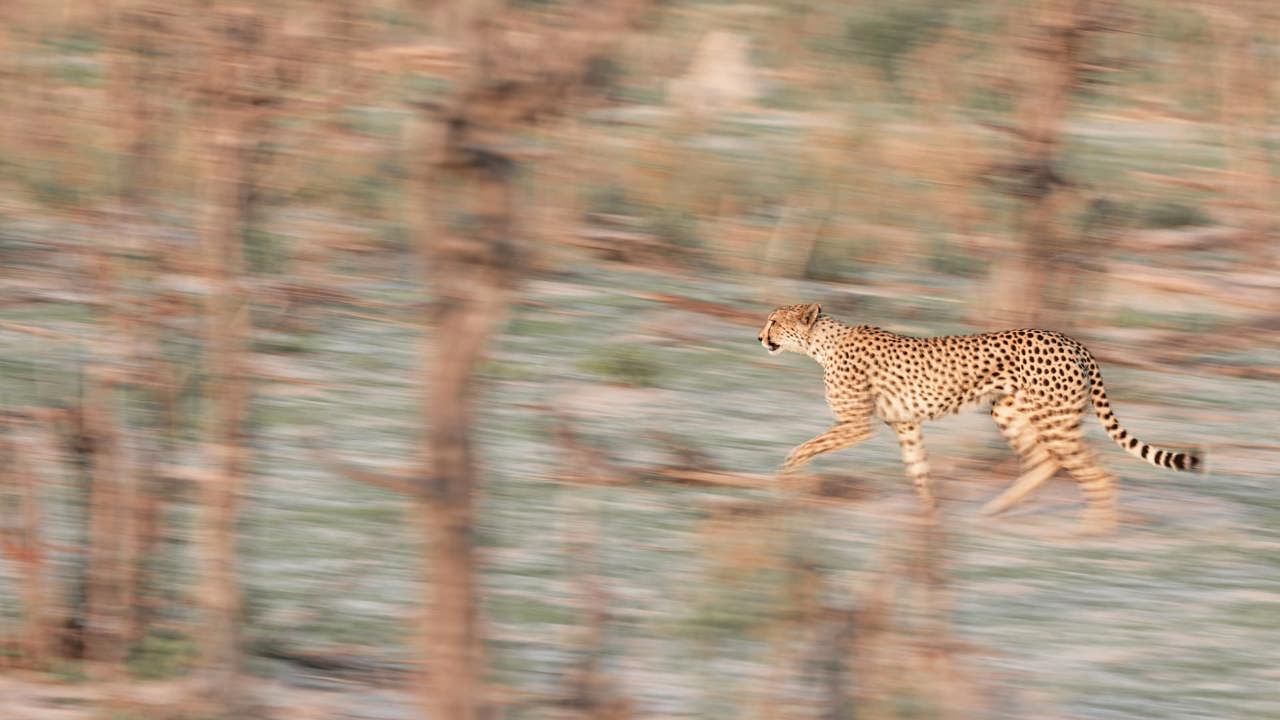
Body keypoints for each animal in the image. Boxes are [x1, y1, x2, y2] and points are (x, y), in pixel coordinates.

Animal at [758, 302, 1202, 531]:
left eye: (774, 321)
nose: (759, 337)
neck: (823, 343)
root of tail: (1071, 339)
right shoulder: (905, 424)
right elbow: (919, 471)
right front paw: (930, 516)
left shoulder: (856, 424)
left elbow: (806, 447)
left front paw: (785, 476)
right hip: (1009, 412)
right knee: (1044, 462)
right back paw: (994, 511)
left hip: (1052, 418)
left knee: (1096, 472)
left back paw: (1094, 533)